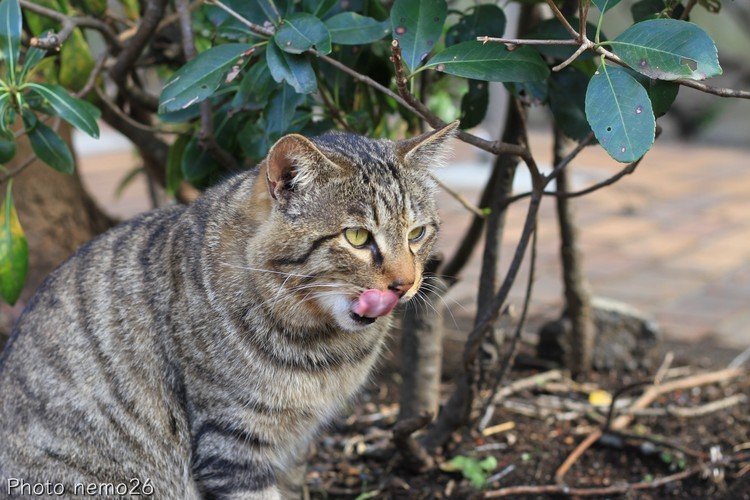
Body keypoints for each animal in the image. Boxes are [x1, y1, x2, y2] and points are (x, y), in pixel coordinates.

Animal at [0, 122, 458, 500]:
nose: (406, 283)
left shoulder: (295, 446)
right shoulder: (233, 443)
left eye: (417, 233)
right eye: (358, 237)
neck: (324, 350)